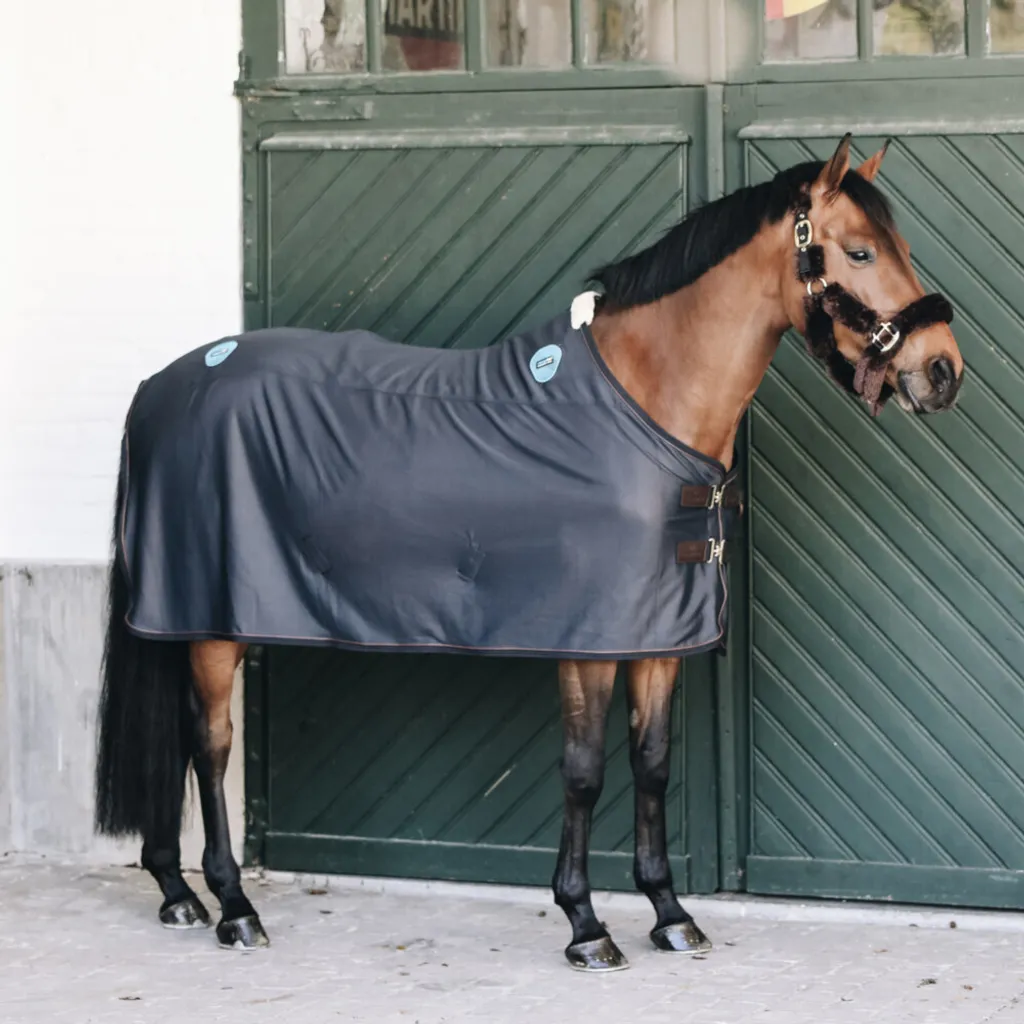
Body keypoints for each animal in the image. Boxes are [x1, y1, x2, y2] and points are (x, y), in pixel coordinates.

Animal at [94, 135, 963, 971]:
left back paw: (177, 892)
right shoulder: (587, 642)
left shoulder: (656, 637)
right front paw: (585, 925)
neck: (645, 404)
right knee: (208, 748)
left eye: (902, 245)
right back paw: (234, 906)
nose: (943, 370)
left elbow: (652, 763)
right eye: (859, 252)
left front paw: (671, 915)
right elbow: (583, 772)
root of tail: (160, 387)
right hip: (212, 625)